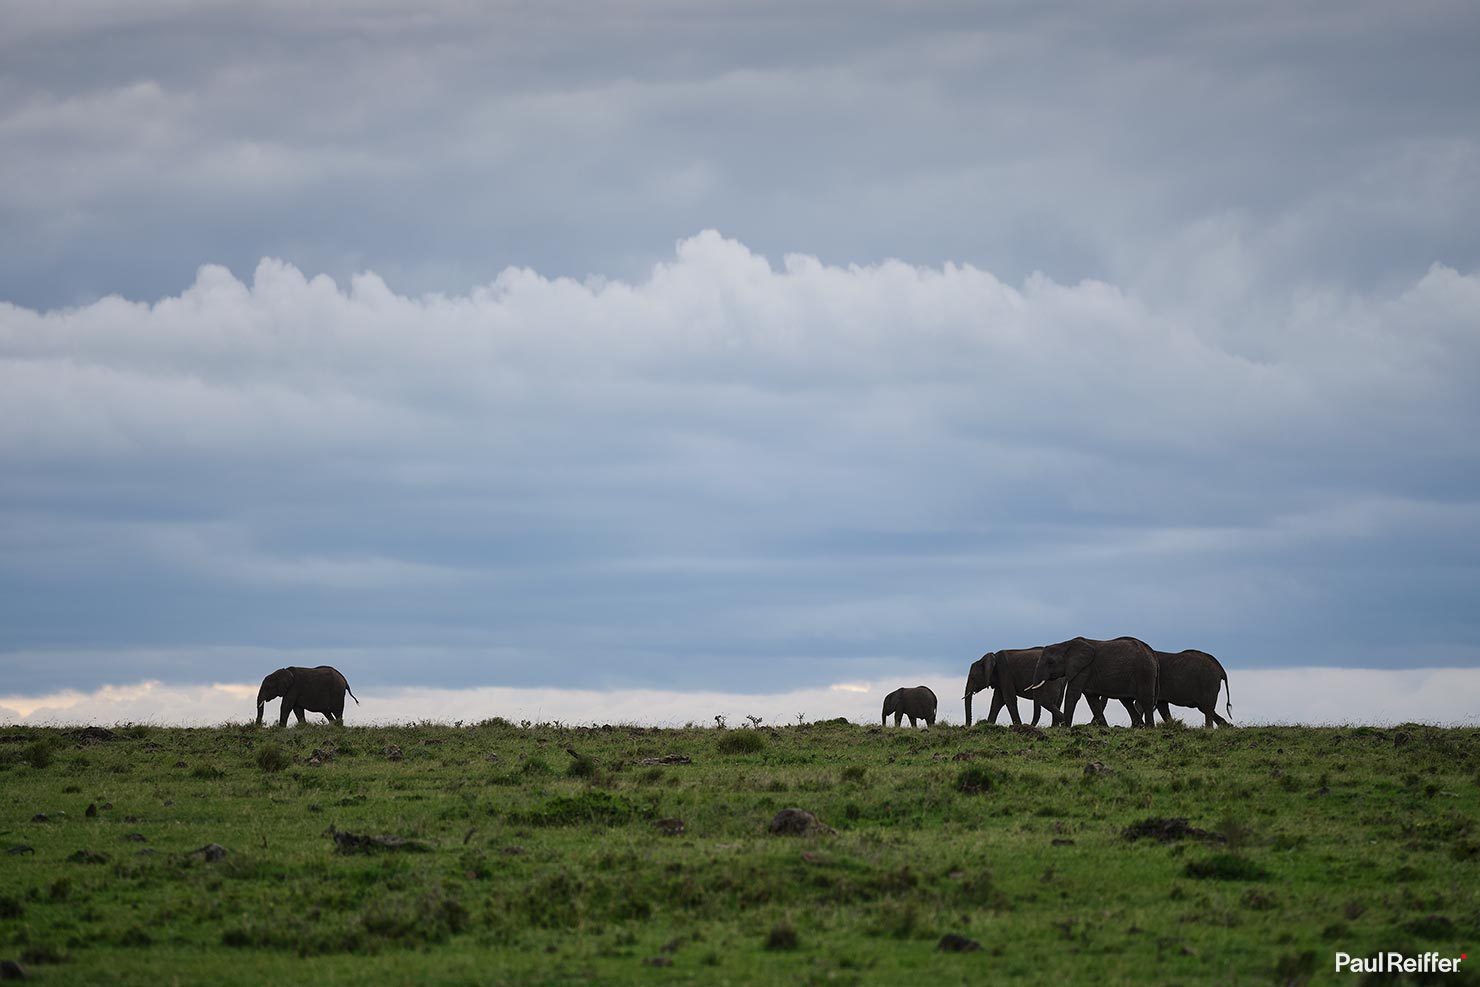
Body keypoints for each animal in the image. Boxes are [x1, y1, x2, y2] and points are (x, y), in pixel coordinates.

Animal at [1030, 637, 1158, 727]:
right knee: (1127, 702)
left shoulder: (1084, 668)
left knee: (1145, 700)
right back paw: (1139, 726)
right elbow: (1092, 699)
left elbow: (1073, 694)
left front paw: (1066, 727)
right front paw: (1104, 727)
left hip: (1145, 672)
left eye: (1050, 662)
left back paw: (1149, 727)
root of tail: (1151, 651)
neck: (1065, 644)